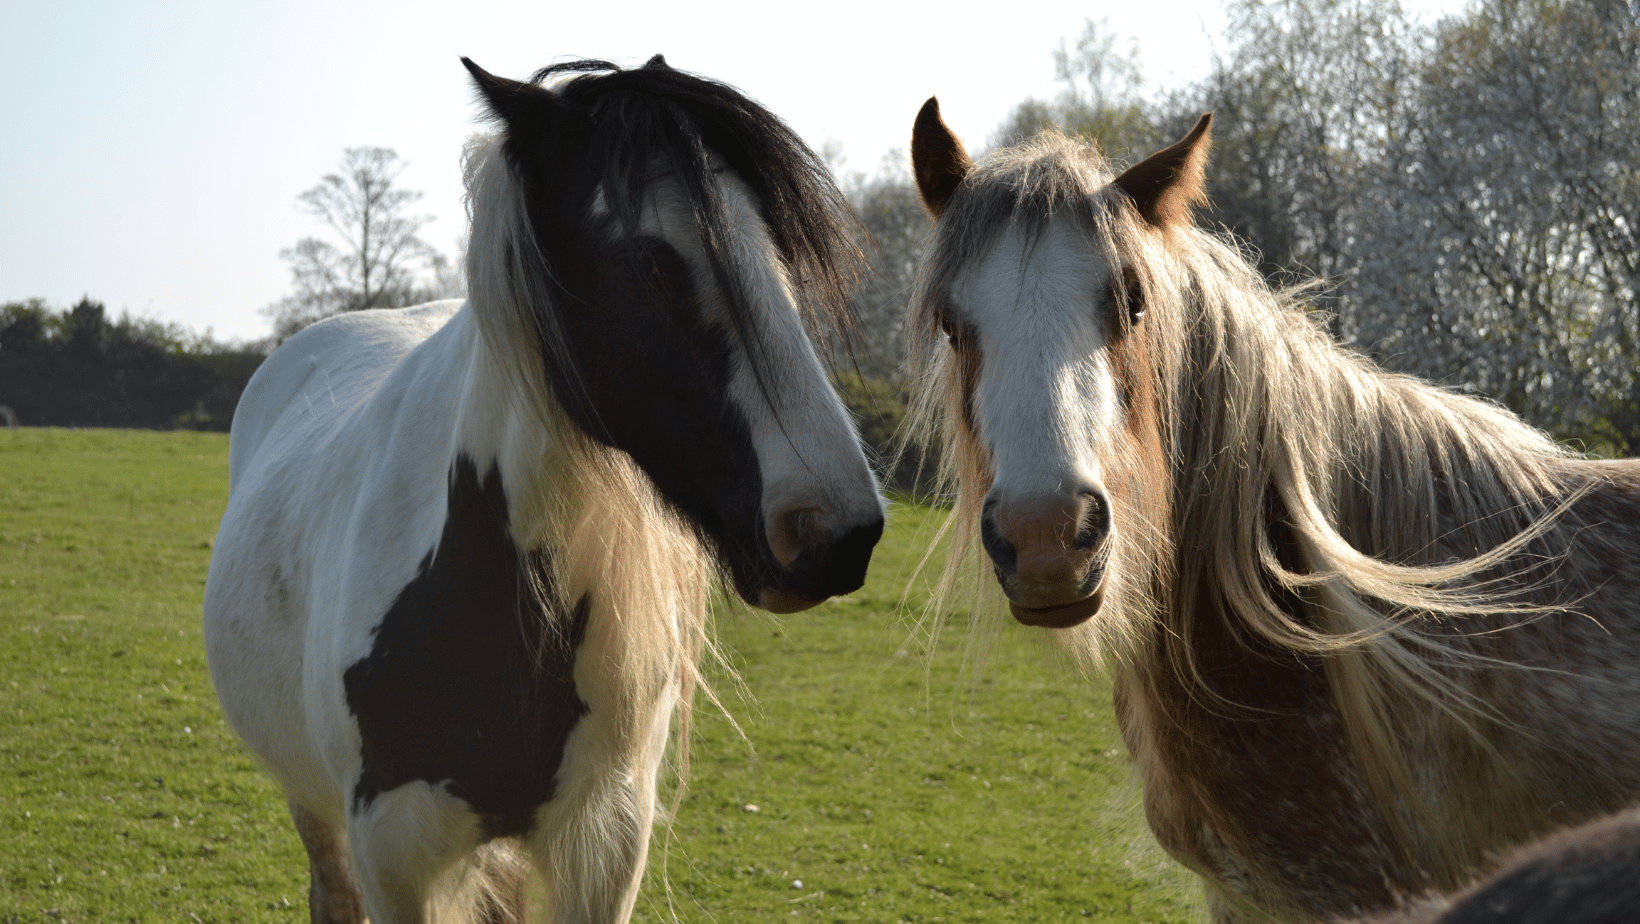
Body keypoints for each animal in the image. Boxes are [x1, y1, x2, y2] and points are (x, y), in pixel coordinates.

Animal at [202, 57, 884, 924]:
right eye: (652, 262)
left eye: (777, 249)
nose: (835, 530)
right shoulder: (394, 854)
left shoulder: (602, 845)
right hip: (313, 803)